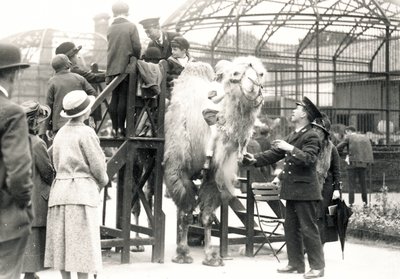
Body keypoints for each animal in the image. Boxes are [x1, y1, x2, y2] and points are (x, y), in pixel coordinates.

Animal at [162, 57, 266, 266]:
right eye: (235, 74)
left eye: (261, 73)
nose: (254, 86)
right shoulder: (177, 170)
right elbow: (186, 212)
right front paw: (182, 254)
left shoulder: (213, 175)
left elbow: (207, 215)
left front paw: (212, 256)